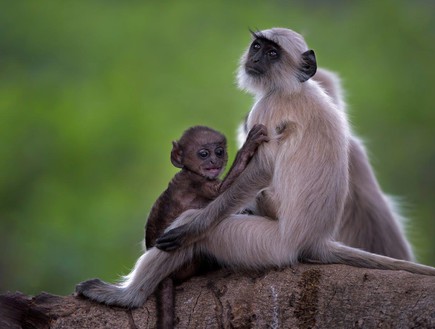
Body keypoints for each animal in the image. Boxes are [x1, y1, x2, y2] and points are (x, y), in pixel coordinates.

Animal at [146, 123, 270, 328]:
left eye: (219, 151)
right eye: (203, 154)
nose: (214, 160)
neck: (188, 172)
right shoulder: (197, 182)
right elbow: (222, 191)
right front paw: (247, 146)